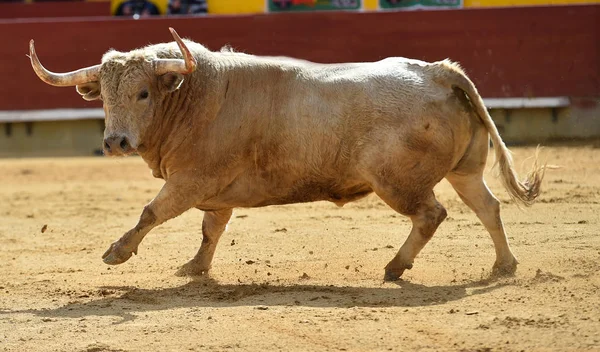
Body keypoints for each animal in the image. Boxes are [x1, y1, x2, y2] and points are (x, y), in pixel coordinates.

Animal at [29, 28, 544, 280]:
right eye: (103, 96)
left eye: (142, 94)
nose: (115, 142)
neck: (196, 92)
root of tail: (439, 71)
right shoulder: (216, 190)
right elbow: (211, 229)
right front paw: (195, 269)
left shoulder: (192, 179)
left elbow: (152, 212)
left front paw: (117, 252)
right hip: (465, 170)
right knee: (488, 207)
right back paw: (503, 265)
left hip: (399, 182)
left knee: (431, 214)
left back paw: (396, 267)